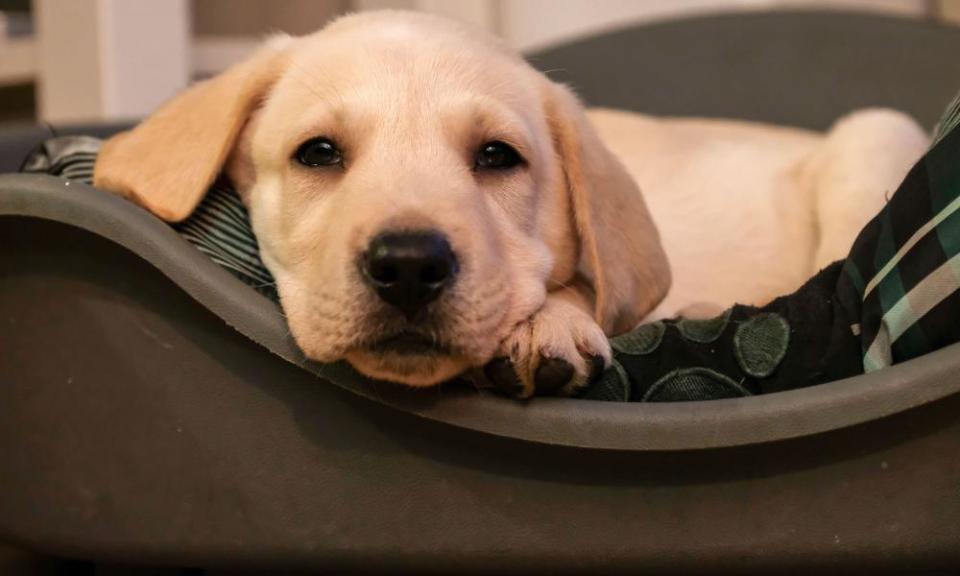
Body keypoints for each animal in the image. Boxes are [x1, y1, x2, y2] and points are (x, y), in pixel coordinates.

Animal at [92, 10, 928, 396]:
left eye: (497, 157)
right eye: (318, 153)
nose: (407, 267)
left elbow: (585, 287)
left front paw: (548, 324)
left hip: (875, 135)